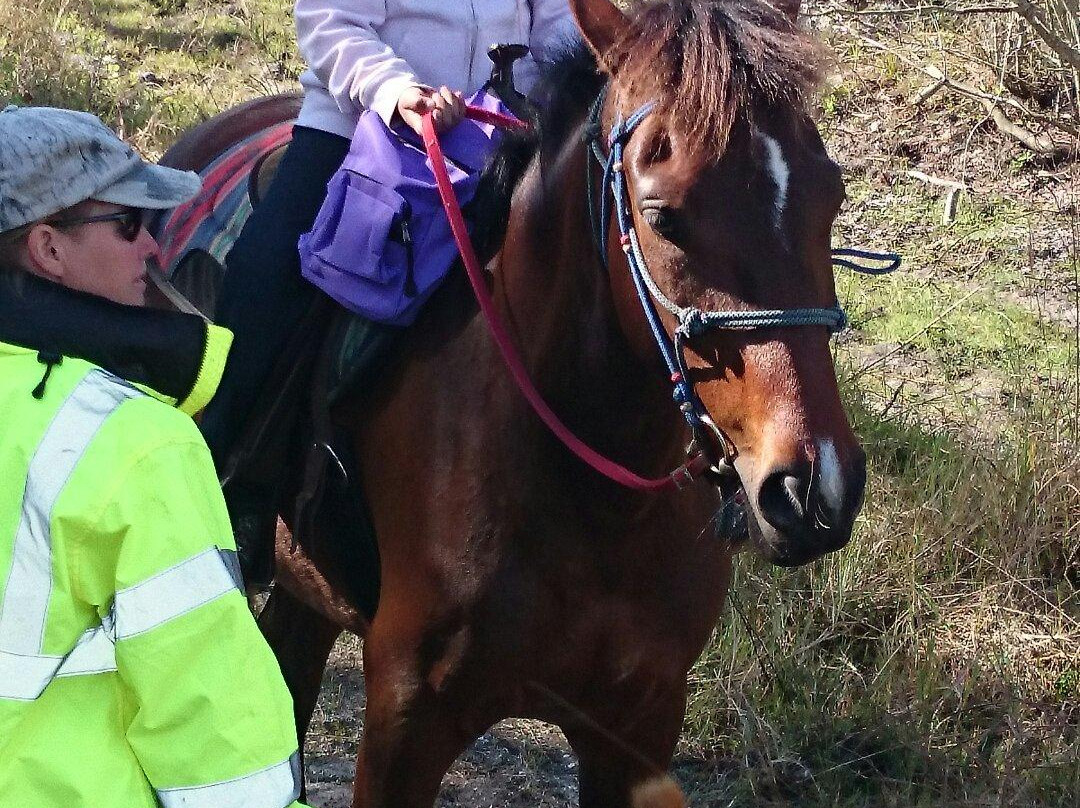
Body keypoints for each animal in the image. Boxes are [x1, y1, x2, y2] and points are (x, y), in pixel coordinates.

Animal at [161, 0, 865, 804]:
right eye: (662, 215)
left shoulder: (638, 726)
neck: (590, 495)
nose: (814, 489)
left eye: (829, 194)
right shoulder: (406, 719)